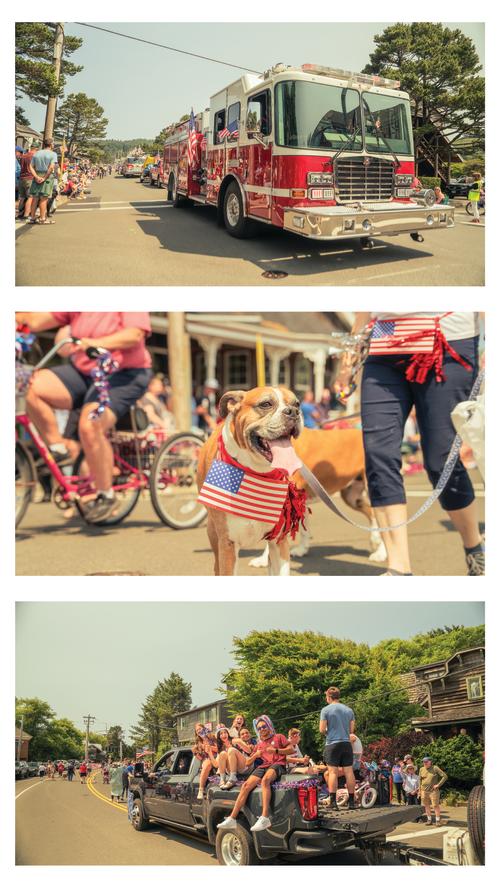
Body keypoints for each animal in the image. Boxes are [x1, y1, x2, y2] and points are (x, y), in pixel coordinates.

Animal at [197, 384, 302, 576]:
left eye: (297, 403)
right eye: (266, 404)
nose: (293, 412)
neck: (258, 473)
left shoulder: (279, 541)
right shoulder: (228, 545)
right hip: (214, 536)